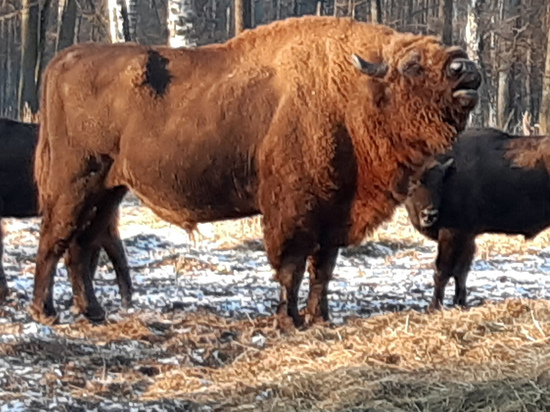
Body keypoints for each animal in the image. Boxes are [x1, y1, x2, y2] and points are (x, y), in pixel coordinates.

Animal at [33, 15, 484, 326]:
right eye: (412, 65)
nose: (466, 69)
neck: (354, 92)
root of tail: (63, 59)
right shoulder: (294, 211)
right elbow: (291, 266)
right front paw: (289, 319)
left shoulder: (334, 212)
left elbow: (323, 269)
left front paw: (320, 318)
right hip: (76, 183)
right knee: (54, 241)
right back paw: (45, 312)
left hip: (108, 191)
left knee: (81, 247)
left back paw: (92, 312)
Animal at [406, 127, 550, 310]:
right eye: (412, 183)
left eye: (438, 184)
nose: (429, 214)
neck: (451, 175)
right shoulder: (467, 237)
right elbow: (461, 272)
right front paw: (459, 302)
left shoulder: (453, 234)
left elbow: (443, 270)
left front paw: (434, 306)